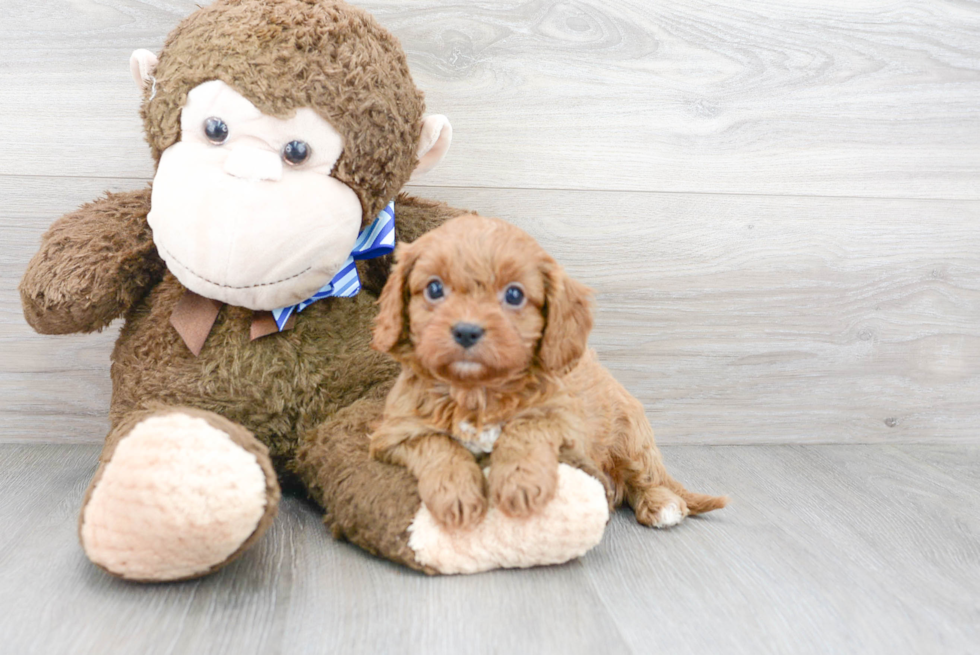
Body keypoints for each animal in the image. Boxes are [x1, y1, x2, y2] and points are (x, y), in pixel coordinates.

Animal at [372, 217, 724, 532]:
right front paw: (457, 495)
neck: (478, 391)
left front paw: (520, 484)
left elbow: (526, 428)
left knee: (642, 476)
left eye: (514, 295)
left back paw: (661, 503)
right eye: (434, 288)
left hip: (630, 435)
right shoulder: (395, 432)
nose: (467, 331)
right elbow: (438, 446)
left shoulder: (565, 419)